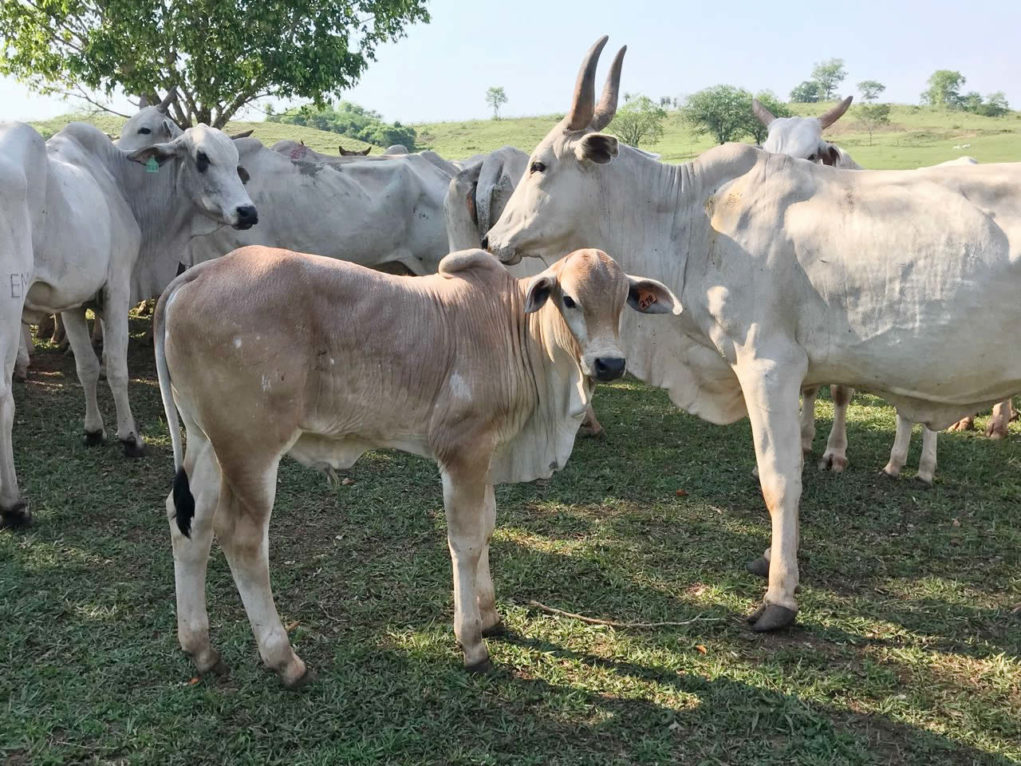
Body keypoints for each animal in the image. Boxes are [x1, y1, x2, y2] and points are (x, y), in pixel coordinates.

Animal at [0, 120, 254, 527]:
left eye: (235, 161)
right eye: (202, 159)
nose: (248, 212)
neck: (119, 183)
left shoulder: (72, 300)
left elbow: (87, 368)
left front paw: (93, 431)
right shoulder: (117, 287)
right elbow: (116, 368)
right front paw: (129, 438)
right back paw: (13, 504)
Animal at [155, 244, 677, 682]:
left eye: (623, 299)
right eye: (568, 299)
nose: (610, 363)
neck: (515, 330)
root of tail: (201, 272)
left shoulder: (486, 456)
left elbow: (487, 527)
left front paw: (490, 616)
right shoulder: (463, 450)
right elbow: (465, 541)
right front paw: (472, 641)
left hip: (206, 442)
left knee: (188, 524)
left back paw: (200, 648)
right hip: (251, 449)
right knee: (242, 540)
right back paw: (284, 659)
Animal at [483, 39, 1021, 633]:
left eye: (539, 165)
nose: (491, 239)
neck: (696, 218)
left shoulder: (769, 366)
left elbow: (780, 480)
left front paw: (779, 596)